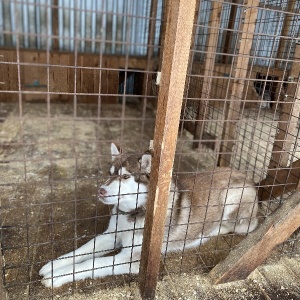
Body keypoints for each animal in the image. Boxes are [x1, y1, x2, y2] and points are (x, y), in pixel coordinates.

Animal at [39, 143, 258, 288]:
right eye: (110, 173)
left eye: (125, 176)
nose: (100, 191)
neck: (132, 212)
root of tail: (248, 177)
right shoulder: (111, 235)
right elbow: (82, 251)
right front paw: (54, 266)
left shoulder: (133, 259)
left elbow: (93, 263)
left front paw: (57, 276)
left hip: (234, 205)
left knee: (246, 225)